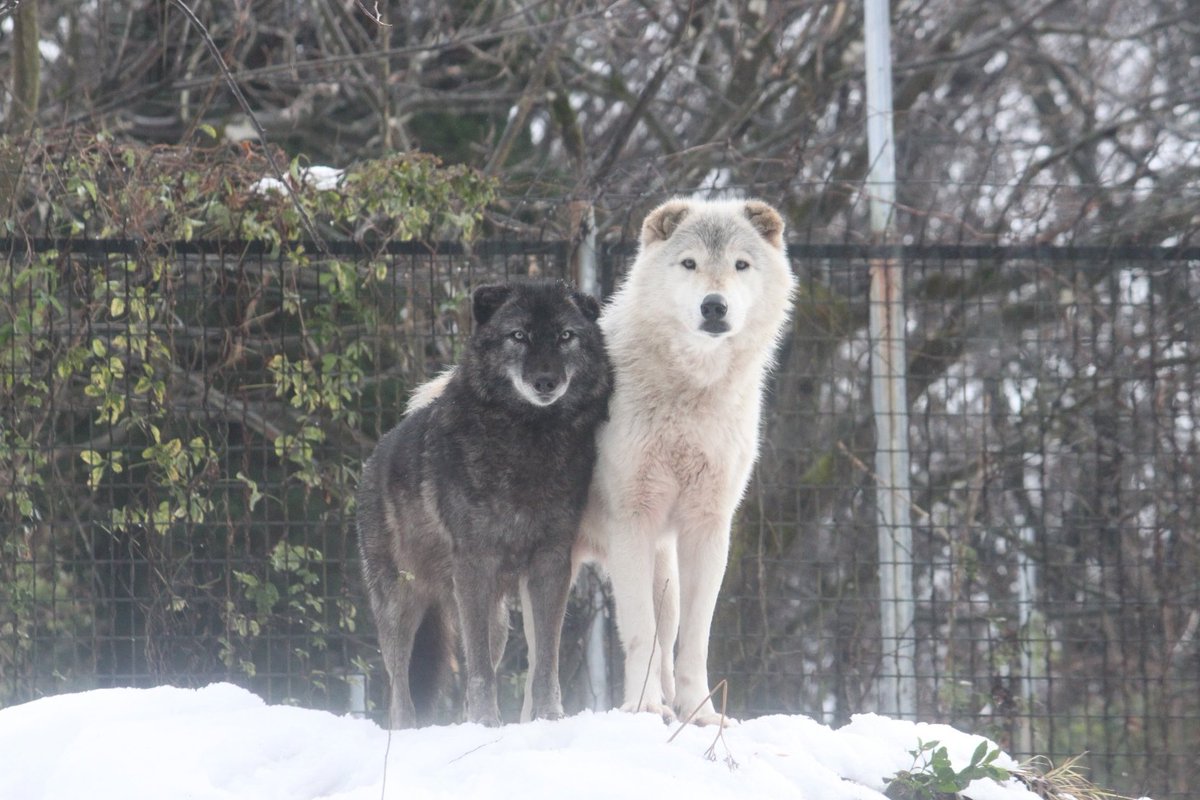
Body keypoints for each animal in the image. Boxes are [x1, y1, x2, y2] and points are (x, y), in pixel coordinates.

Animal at [352, 278, 609, 729]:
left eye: (565, 336)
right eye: (519, 335)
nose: (546, 382)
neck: (530, 441)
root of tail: (376, 454)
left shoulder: (552, 563)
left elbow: (545, 661)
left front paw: (548, 717)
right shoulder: (474, 563)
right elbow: (479, 671)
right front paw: (486, 723)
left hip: (497, 620)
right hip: (402, 605)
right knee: (400, 689)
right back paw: (408, 730)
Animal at [573, 199, 796, 724]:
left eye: (740, 264)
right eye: (690, 263)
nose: (714, 306)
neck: (692, 391)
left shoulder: (708, 527)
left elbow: (694, 640)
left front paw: (700, 714)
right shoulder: (632, 523)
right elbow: (640, 633)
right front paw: (642, 709)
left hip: (663, 576)